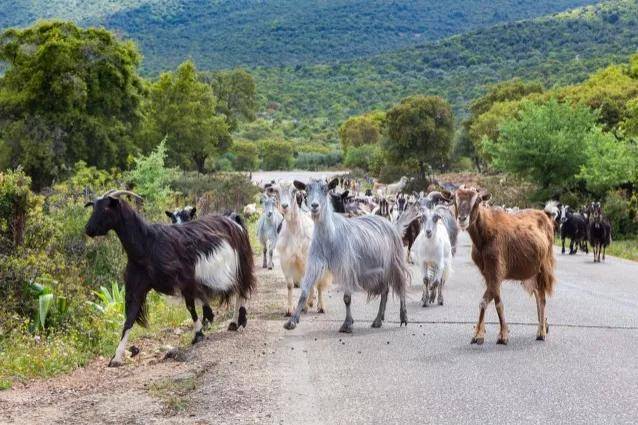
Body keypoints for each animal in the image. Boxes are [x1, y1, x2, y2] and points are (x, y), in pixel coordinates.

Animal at [84, 190, 256, 366]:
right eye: (94, 207)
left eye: (106, 208)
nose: (88, 229)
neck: (147, 245)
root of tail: (233, 221)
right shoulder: (137, 286)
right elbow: (129, 318)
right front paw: (116, 357)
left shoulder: (186, 278)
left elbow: (191, 306)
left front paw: (199, 333)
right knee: (238, 289)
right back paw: (234, 322)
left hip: (241, 263)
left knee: (242, 289)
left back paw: (238, 320)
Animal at [276, 180, 332, 314]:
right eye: (277, 191)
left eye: (294, 191)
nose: (284, 206)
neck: (295, 230)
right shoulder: (286, 260)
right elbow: (290, 285)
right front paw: (289, 309)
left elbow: (310, 283)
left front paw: (307, 304)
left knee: (318, 284)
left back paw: (319, 306)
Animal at [284, 177, 410, 332]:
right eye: (306, 191)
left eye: (325, 190)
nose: (314, 206)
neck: (330, 236)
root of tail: (391, 225)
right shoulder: (315, 261)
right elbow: (304, 291)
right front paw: (292, 321)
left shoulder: (346, 266)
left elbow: (347, 298)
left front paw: (347, 324)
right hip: (380, 270)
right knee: (385, 291)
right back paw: (378, 320)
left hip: (395, 262)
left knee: (401, 285)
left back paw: (403, 317)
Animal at [458, 186, 556, 344]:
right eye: (455, 198)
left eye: (477, 200)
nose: (462, 219)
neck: (485, 236)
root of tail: (546, 215)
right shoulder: (488, 273)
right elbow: (493, 300)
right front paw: (481, 333)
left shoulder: (497, 270)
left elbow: (488, 302)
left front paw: (499, 335)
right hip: (532, 270)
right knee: (537, 294)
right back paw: (544, 326)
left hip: (544, 266)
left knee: (542, 298)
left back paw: (541, 332)